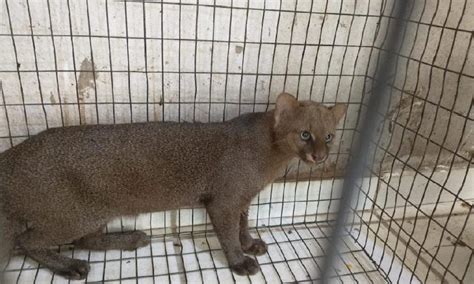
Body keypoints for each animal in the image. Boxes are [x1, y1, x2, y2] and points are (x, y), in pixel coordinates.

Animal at [0, 93, 348, 280]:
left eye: (329, 136)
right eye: (304, 134)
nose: (320, 156)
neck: (268, 157)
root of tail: (10, 156)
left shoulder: (243, 200)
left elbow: (243, 227)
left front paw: (250, 244)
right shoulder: (224, 201)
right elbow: (228, 235)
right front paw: (239, 261)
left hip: (94, 213)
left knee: (86, 240)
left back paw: (131, 239)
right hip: (72, 215)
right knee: (27, 241)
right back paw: (70, 266)